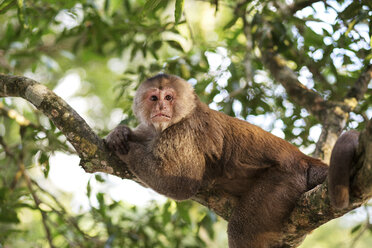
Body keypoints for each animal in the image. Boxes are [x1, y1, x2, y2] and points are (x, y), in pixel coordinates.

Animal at [104, 73, 358, 248]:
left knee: (241, 229)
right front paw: (120, 133)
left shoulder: (183, 131)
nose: (161, 107)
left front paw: (129, 150)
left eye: (168, 97)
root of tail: (303, 158)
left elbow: (182, 185)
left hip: (285, 180)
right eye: (153, 97)